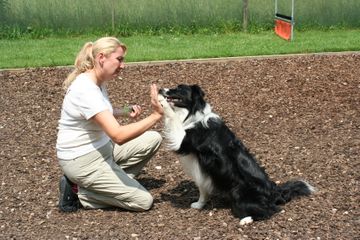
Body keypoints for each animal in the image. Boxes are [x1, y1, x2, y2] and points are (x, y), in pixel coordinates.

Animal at [159, 84, 314, 223]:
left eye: (179, 88)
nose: (161, 89)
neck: (193, 115)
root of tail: (274, 191)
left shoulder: (183, 140)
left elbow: (172, 117)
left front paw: (160, 101)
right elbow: (202, 188)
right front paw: (199, 204)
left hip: (238, 191)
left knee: (270, 211)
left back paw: (245, 220)